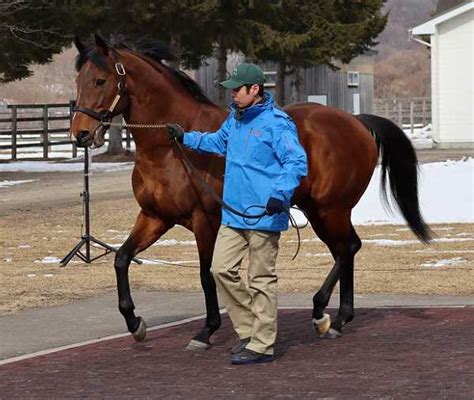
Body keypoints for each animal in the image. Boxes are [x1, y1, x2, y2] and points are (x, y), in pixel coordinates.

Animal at [71, 36, 434, 348]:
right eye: (78, 82)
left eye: (100, 81)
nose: (81, 134)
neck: (170, 148)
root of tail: (356, 121)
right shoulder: (155, 217)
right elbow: (121, 258)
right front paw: (135, 323)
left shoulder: (204, 221)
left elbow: (206, 275)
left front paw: (206, 330)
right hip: (321, 211)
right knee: (347, 249)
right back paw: (341, 318)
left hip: (330, 209)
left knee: (347, 250)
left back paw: (322, 314)